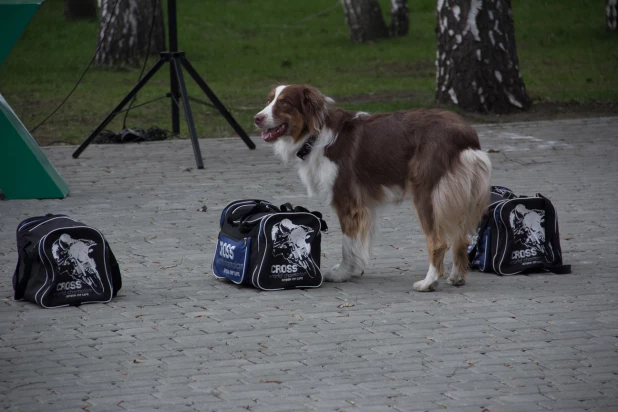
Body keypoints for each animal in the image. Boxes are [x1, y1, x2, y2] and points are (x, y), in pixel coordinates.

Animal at [253, 84, 488, 290]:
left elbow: (348, 243)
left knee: (439, 242)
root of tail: (465, 134)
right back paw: (457, 277)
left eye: (284, 103)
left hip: (427, 195)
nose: (257, 118)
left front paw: (342, 273)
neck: (315, 135)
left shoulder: (347, 201)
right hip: (457, 197)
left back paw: (428, 283)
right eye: (269, 100)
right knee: (461, 238)